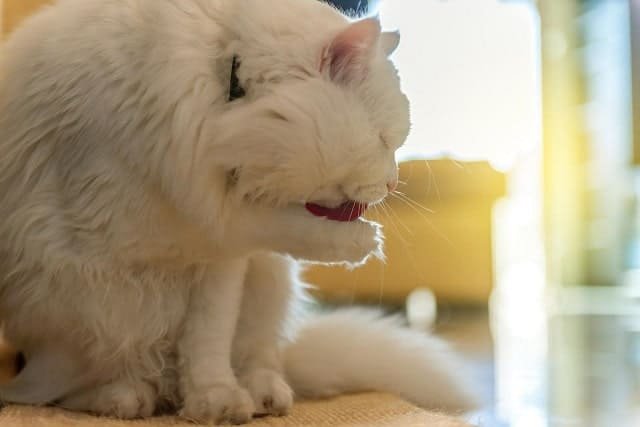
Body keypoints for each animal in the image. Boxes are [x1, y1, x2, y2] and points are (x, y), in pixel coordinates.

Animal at [0, 0, 476, 424]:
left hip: (269, 282)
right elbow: (255, 225)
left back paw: (260, 394)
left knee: (258, 357)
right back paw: (124, 397)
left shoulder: (221, 261)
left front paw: (215, 400)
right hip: (77, 304)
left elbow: (209, 339)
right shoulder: (160, 220)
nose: (394, 183)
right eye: (382, 140)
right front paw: (361, 242)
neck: (226, 89)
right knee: (68, 383)